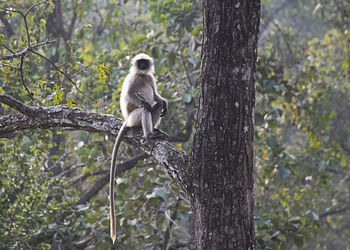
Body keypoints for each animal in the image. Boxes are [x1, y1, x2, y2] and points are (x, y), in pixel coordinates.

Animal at [110, 53, 169, 244]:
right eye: (140, 63)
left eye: (145, 63)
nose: (143, 66)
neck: (142, 76)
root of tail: (127, 120)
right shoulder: (133, 77)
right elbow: (130, 94)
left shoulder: (149, 77)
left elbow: (156, 96)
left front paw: (164, 101)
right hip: (134, 117)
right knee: (145, 109)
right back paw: (149, 134)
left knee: (156, 106)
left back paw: (155, 130)